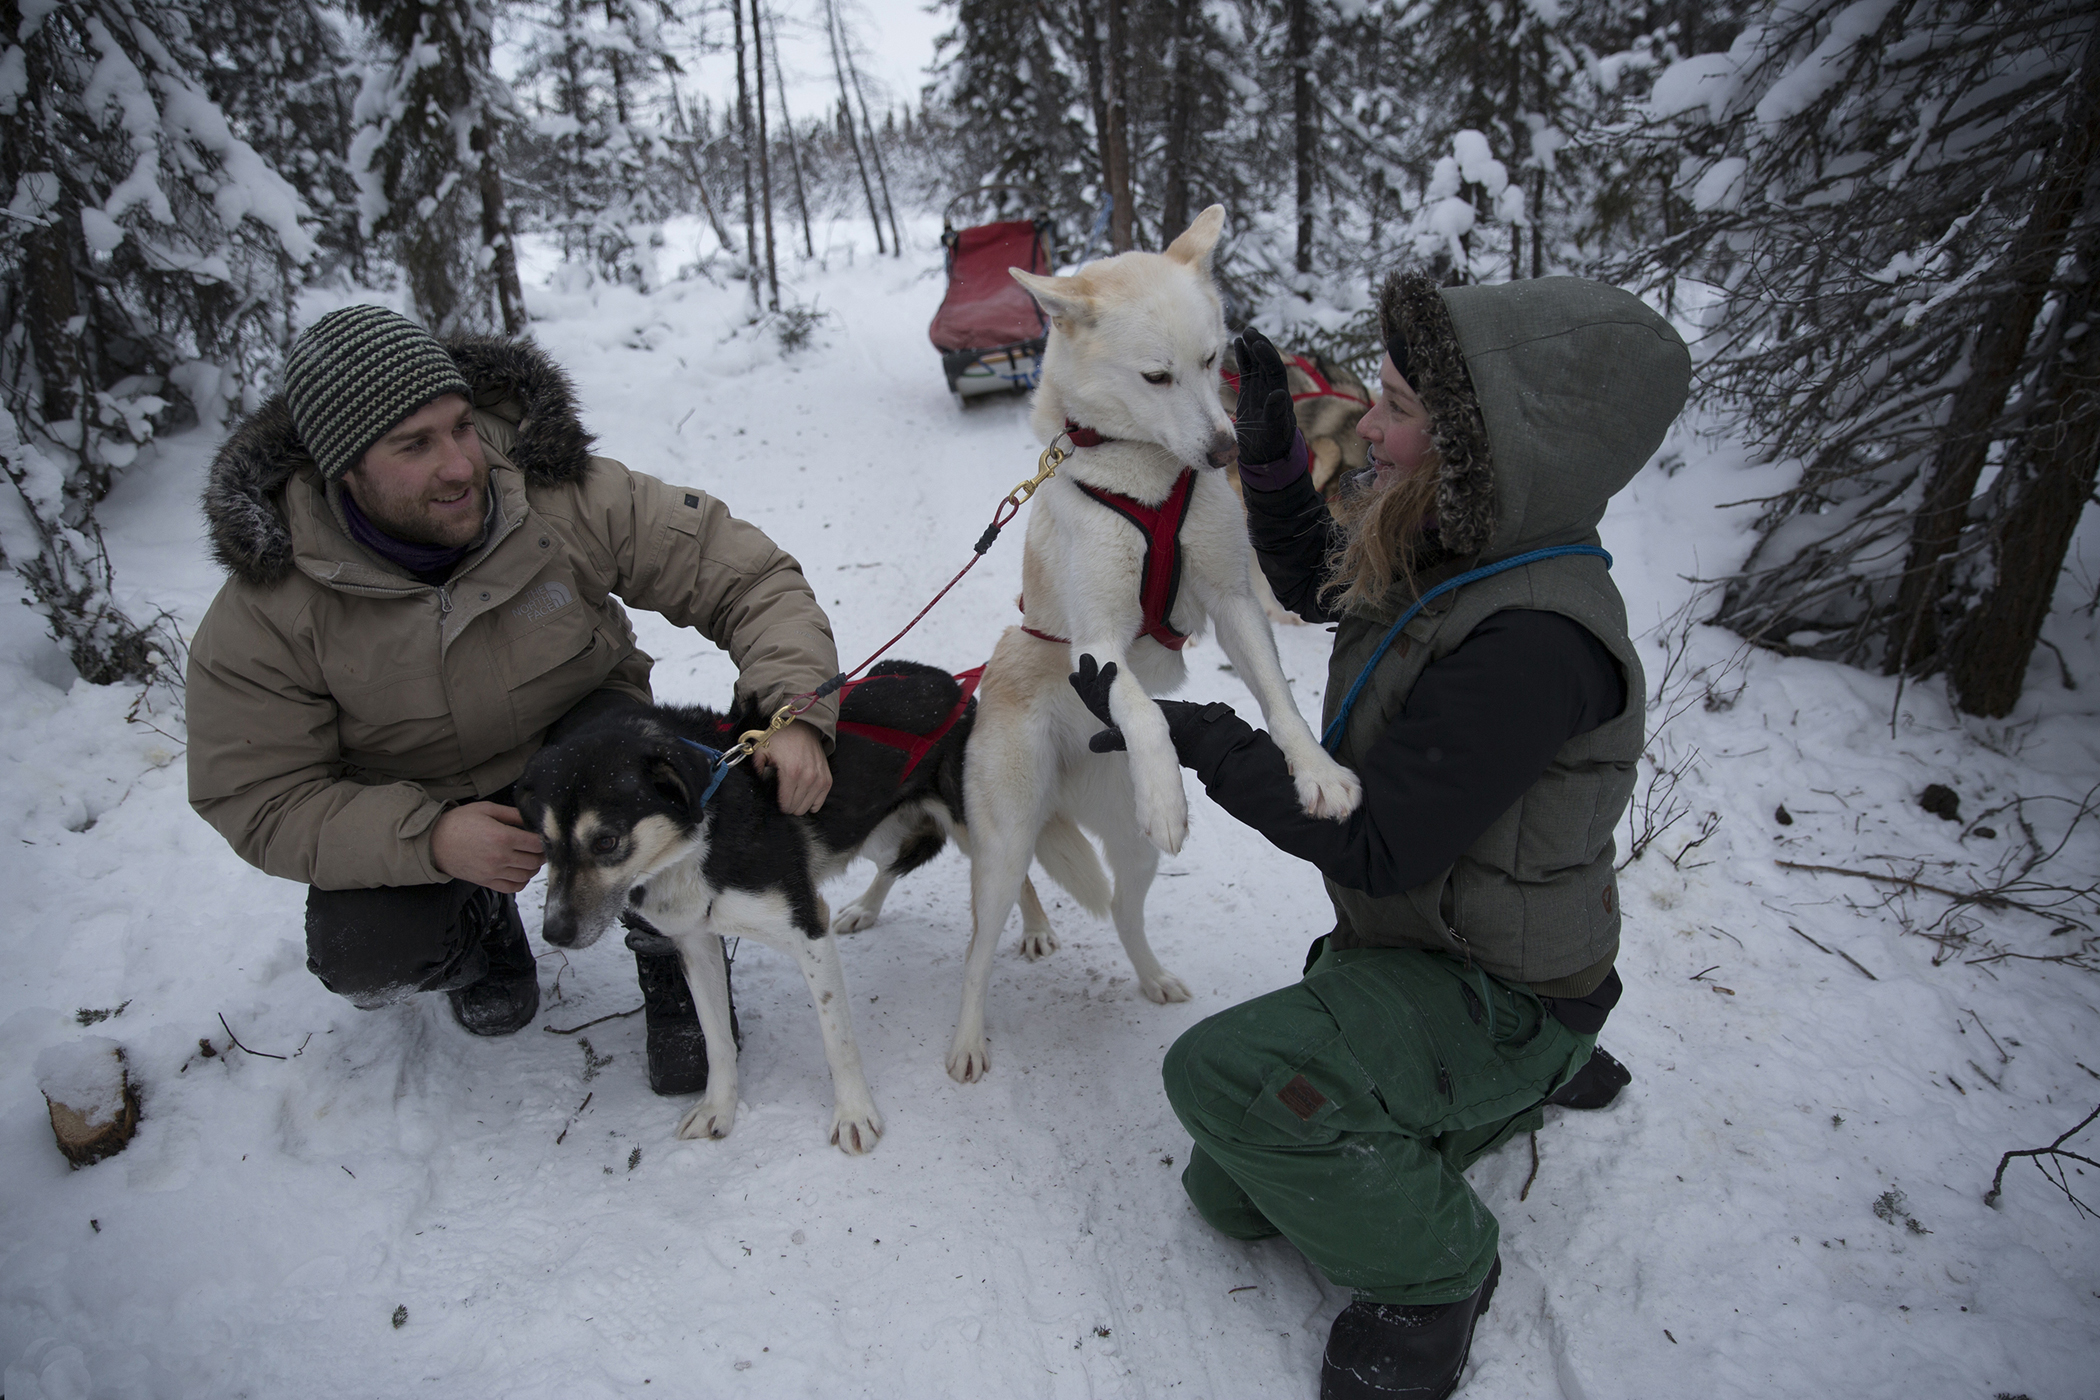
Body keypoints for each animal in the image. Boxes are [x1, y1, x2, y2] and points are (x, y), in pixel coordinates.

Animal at [516, 663, 1108, 1158]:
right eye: (543, 842)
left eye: (607, 841)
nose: (555, 932)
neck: (703, 827)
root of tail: (950, 685)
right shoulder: (695, 943)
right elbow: (716, 1040)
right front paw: (718, 1109)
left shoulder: (806, 929)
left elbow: (836, 1039)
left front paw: (855, 1116)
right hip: (870, 829)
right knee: (898, 860)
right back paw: (864, 909)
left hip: (975, 829)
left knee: (1012, 873)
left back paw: (1032, 934)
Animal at [949, 205, 1369, 1083]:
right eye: (1154, 377)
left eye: (1213, 361)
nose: (1226, 452)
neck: (1146, 476)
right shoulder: (1099, 641)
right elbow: (1140, 706)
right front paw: (1167, 789)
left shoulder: (1234, 600)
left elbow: (1279, 700)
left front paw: (1316, 774)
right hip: (1003, 854)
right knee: (977, 951)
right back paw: (967, 1039)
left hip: (1132, 858)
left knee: (1124, 913)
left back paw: (1150, 976)